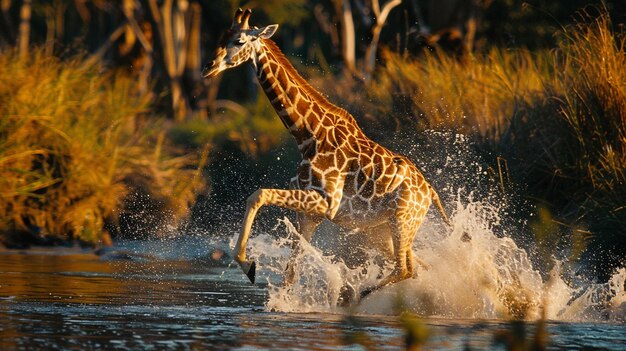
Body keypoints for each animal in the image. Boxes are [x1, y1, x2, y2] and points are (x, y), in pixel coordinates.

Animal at [202, 7, 450, 300]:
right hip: (381, 230)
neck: (307, 135)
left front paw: (247, 264)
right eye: (222, 36)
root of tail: (430, 191)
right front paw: (280, 301)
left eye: (239, 41)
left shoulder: (327, 202)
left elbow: (258, 194)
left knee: (405, 269)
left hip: (402, 221)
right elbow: (290, 272)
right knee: (419, 265)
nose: (207, 67)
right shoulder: (310, 215)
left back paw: (355, 295)